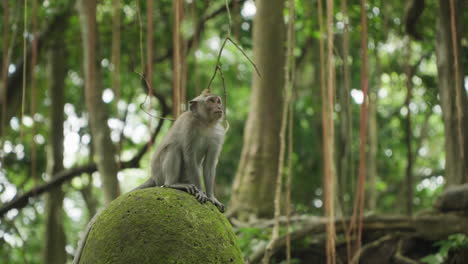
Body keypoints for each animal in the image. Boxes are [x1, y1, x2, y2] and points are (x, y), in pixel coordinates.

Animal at [72, 91, 226, 264]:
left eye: (218, 100)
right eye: (211, 101)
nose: (220, 107)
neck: (205, 123)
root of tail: (154, 176)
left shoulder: (218, 134)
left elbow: (209, 165)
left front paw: (212, 197)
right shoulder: (189, 126)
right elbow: (189, 157)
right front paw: (200, 191)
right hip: (161, 173)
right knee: (174, 149)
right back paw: (174, 184)